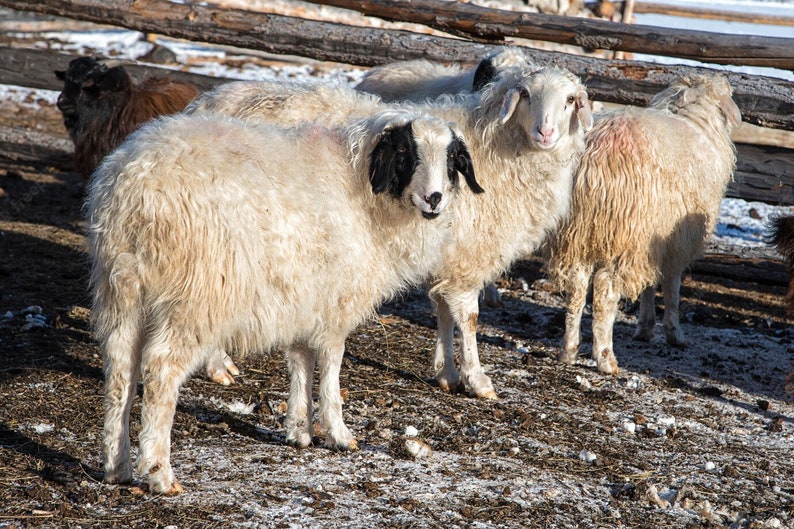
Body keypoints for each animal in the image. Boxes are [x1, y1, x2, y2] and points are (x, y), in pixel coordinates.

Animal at [89, 108, 480, 496]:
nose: (434, 199)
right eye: (403, 151)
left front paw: (299, 429)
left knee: (121, 370)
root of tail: (137, 189)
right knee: (160, 370)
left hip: (122, 290)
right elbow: (331, 365)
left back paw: (116, 465)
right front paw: (338, 432)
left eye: (451, 159)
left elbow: (300, 360)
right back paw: (160, 473)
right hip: (195, 298)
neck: (363, 189)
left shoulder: (305, 298)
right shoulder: (335, 301)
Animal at [548, 74, 740, 374]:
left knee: (576, 288)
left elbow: (649, 285)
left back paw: (569, 349)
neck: (694, 116)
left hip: (576, 234)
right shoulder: (677, 241)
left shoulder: (654, 239)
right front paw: (674, 334)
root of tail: (590, 153)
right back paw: (605, 358)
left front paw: (645, 328)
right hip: (620, 234)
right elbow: (672, 289)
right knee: (604, 293)